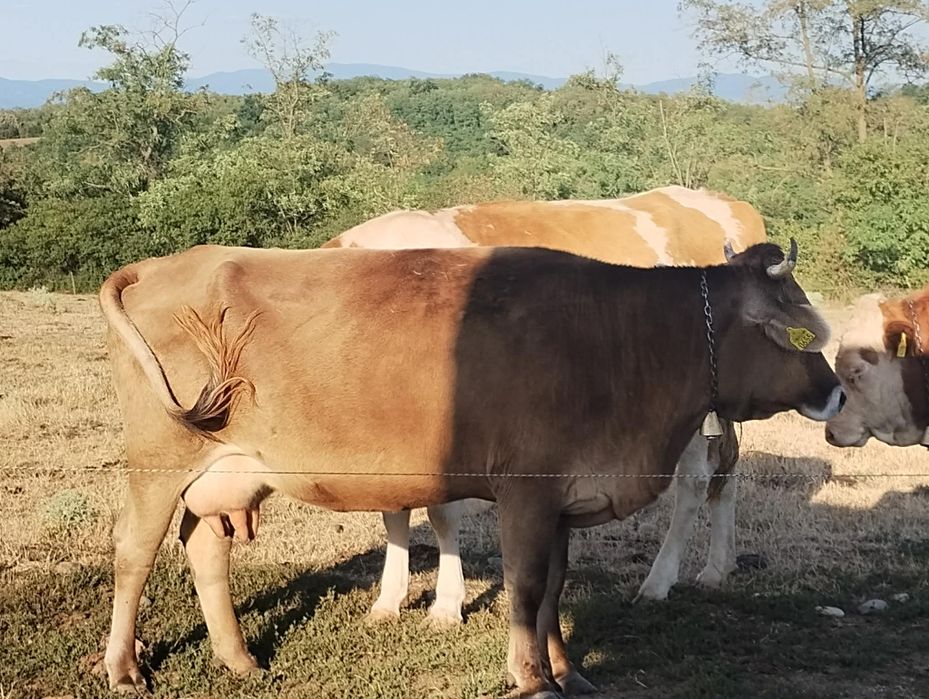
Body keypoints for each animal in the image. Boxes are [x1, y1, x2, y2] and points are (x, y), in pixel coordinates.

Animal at [99, 239, 843, 697]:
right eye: (797, 329)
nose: (836, 392)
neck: (622, 341)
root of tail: (168, 263)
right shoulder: (525, 492)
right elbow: (525, 588)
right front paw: (530, 677)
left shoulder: (561, 499)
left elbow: (554, 590)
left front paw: (566, 670)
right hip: (158, 459)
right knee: (135, 551)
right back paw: (123, 666)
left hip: (226, 469)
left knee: (205, 547)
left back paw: (238, 657)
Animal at [322, 185, 768, 620]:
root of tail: (726, 203)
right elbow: (392, 510)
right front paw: (387, 602)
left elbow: (441, 514)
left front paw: (447, 605)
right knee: (726, 466)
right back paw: (717, 568)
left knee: (695, 479)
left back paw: (657, 583)